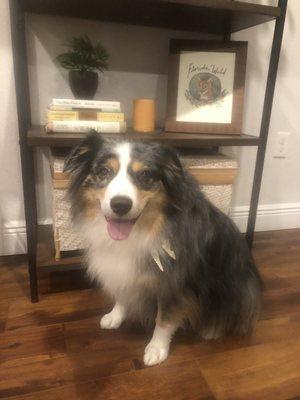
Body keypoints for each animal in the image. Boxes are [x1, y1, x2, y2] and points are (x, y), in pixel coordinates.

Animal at [64, 133, 262, 368]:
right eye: (104, 171)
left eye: (146, 175)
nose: (120, 205)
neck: (144, 230)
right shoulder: (122, 270)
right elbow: (122, 293)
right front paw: (115, 315)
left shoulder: (174, 283)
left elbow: (164, 318)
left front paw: (156, 348)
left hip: (233, 284)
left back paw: (212, 329)